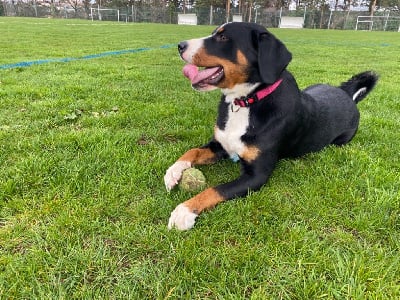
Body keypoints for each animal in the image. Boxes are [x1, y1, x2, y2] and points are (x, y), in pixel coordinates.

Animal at [163, 22, 378, 231]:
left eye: (223, 37)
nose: (180, 45)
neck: (245, 102)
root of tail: (346, 94)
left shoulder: (256, 175)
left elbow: (215, 189)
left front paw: (184, 211)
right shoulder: (220, 145)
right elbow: (192, 151)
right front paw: (173, 172)